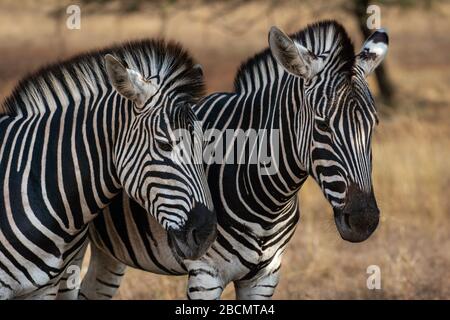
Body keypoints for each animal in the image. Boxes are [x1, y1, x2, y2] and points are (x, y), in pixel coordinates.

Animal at [73, 20, 386, 300]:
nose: (364, 221)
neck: (268, 198)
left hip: (109, 250)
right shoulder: (206, 274)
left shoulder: (265, 277)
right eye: (322, 124)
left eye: (374, 124)